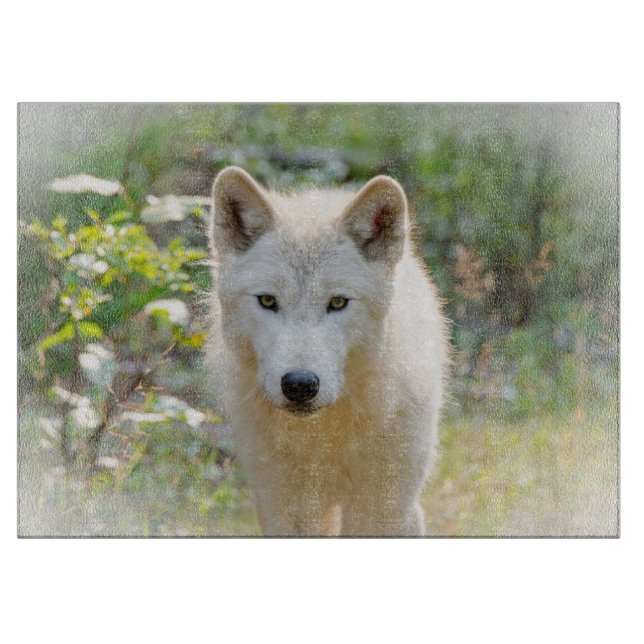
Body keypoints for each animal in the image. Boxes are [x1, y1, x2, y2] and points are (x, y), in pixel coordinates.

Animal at [207, 166, 448, 536]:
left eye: (337, 302)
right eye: (267, 300)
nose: (299, 385)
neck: (322, 438)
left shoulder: (384, 510)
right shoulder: (286, 509)